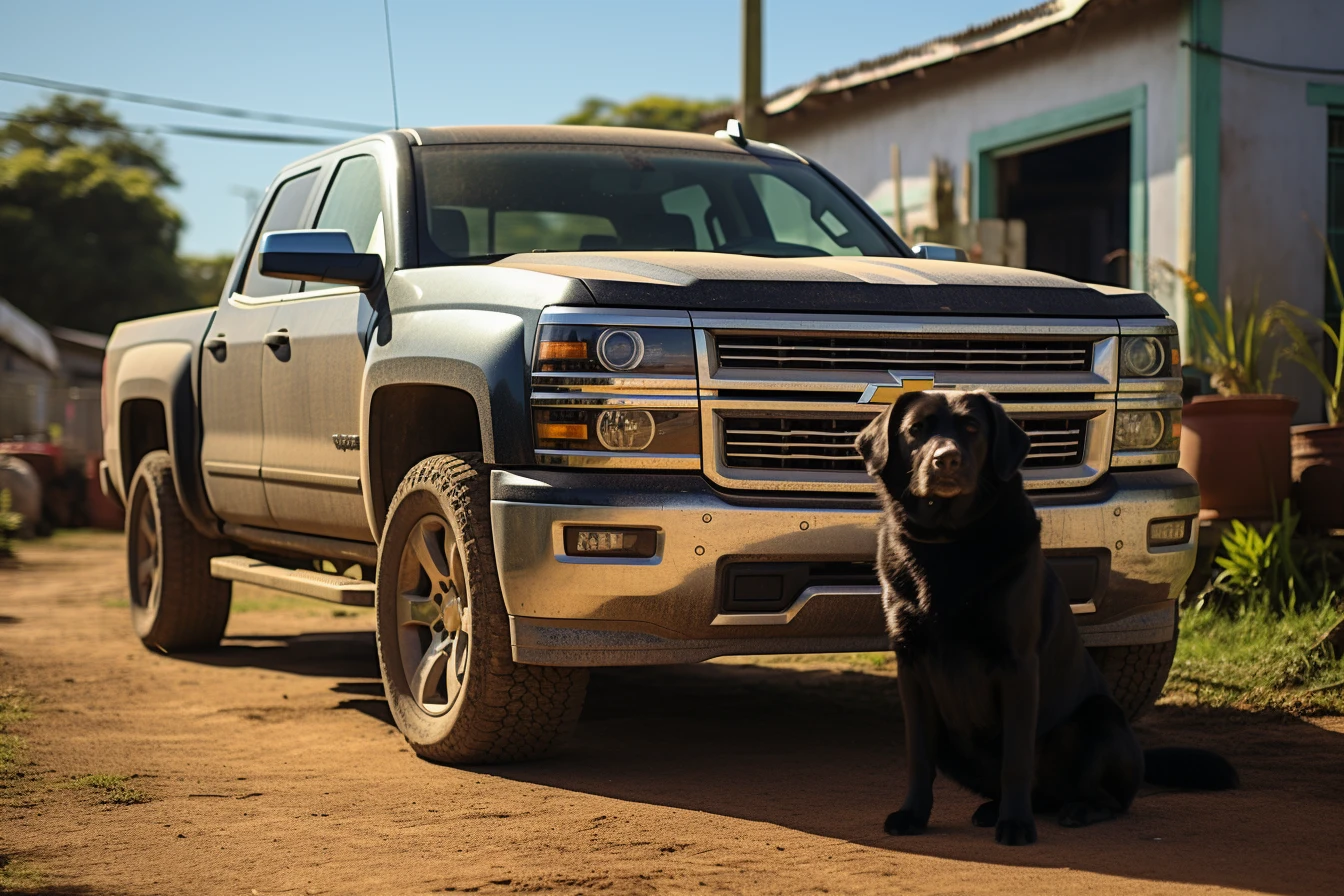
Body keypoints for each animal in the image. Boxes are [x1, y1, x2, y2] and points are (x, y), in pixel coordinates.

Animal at [854, 389, 1231, 843]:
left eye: (971, 428)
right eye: (916, 430)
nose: (946, 459)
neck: (948, 540)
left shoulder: (1018, 666)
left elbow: (1017, 759)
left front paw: (1016, 826)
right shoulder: (911, 668)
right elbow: (918, 757)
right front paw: (913, 814)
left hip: (1098, 719)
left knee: (1109, 799)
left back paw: (1077, 810)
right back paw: (995, 809)